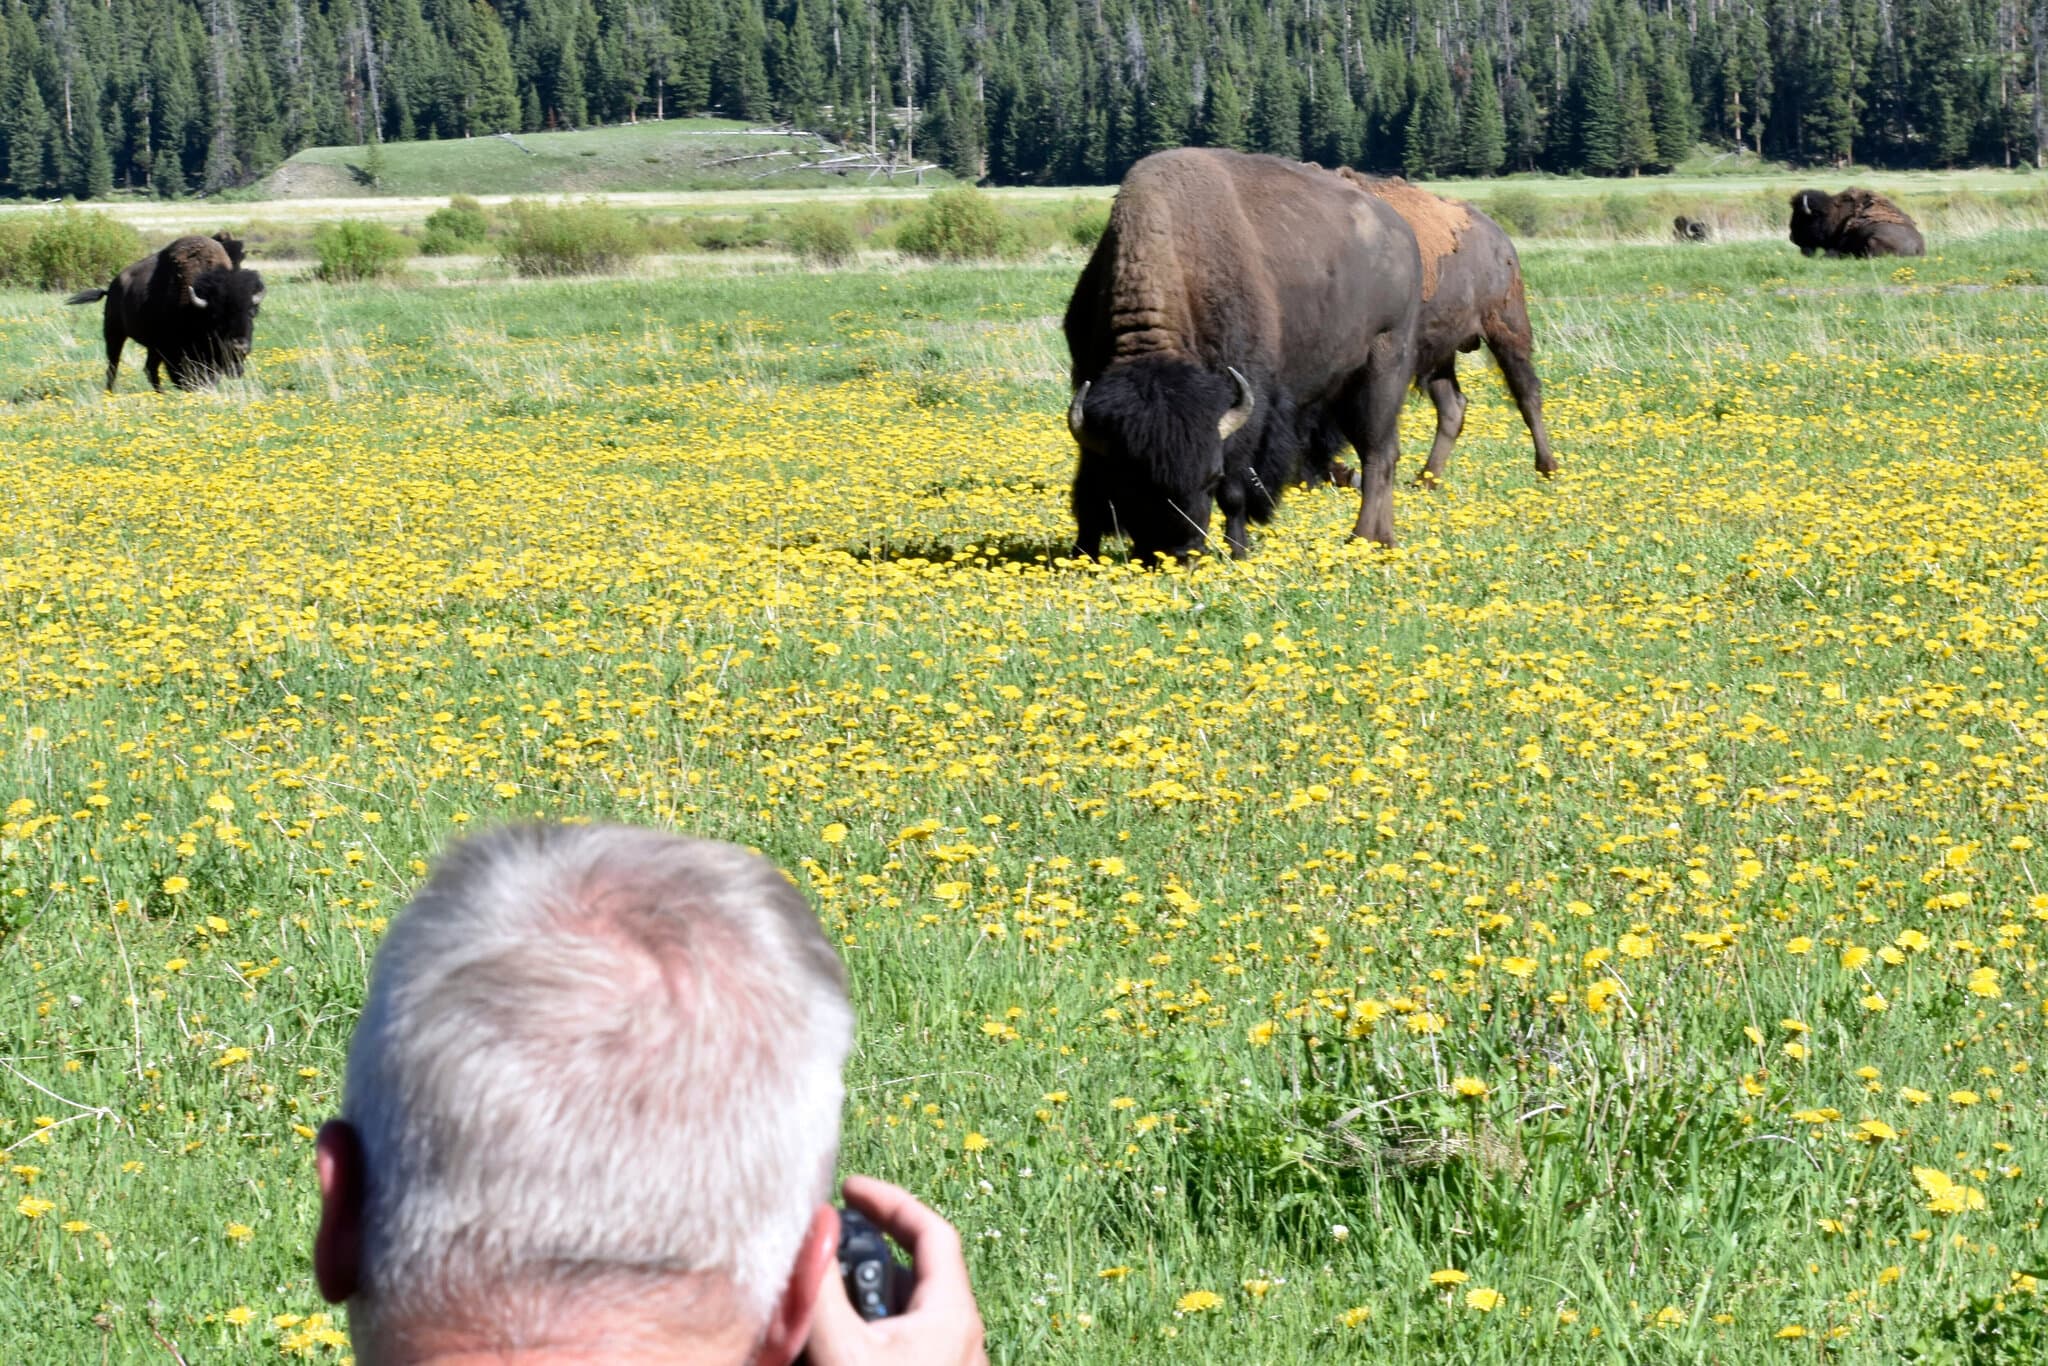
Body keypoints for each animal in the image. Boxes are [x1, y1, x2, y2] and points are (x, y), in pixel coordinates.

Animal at [65, 233, 266, 391]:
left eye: (252, 312)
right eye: (216, 316)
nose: (239, 347)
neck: (195, 309)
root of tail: (112, 287)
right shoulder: (172, 351)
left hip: (150, 346)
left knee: (149, 369)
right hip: (114, 334)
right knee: (114, 365)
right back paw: (111, 392)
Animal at [1064, 148, 1421, 559]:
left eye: (1211, 476)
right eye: (1134, 483)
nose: (1181, 551)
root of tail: (1402, 231)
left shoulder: (1246, 404)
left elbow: (1236, 490)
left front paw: (1239, 549)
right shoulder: (1089, 394)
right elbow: (1087, 487)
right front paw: (1082, 553)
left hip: (1383, 369)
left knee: (1378, 454)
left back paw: (1365, 538)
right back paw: (1380, 538)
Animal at [1320, 172, 1556, 489]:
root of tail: (1500, 239)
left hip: (1506, 329)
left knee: (1527, 393)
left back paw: (1547, 468)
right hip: (1439, 353)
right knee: (1453, 407)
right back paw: (1426, 479)